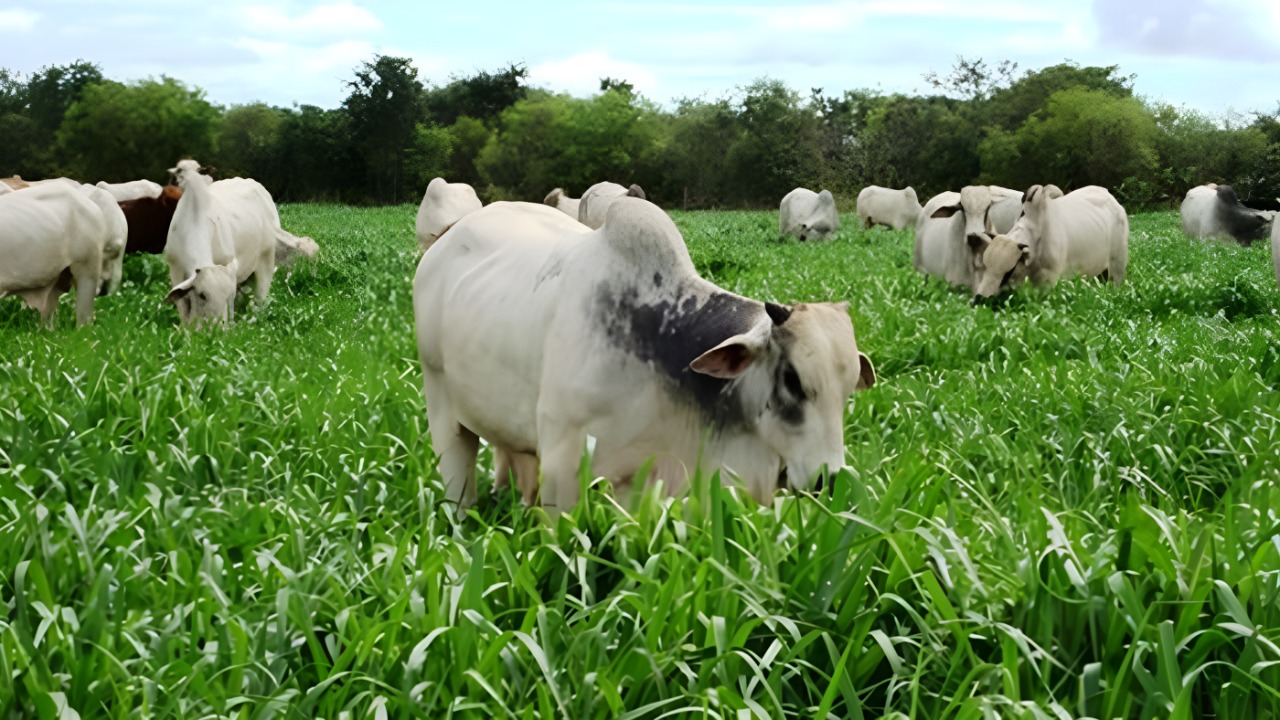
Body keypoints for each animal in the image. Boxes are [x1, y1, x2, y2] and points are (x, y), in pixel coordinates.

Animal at [163, 159, 276, 325]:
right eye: (202, 295)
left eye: (227, 296)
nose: (217, 328)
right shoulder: (175, 270)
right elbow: (182, 307)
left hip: (266, 261)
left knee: (260, 298)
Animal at [414, 194, 875, 515]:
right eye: (792, 380)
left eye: (847, 391)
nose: (830, 479)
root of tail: (445, 241)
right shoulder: (563, 469)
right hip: (444, 413)